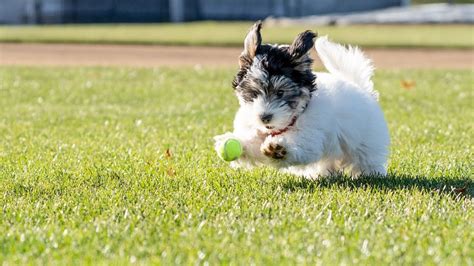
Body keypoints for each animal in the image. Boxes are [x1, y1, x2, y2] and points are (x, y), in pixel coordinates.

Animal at [214, 21, 388, 179]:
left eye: (281, 92)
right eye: (254, 92)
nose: (264, 117)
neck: (287, 123)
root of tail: (361, 88)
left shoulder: (312, 134)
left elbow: (302, 144)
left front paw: (278, 150)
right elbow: (253, 143)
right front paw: (232, 141)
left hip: (366, 139)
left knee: (366, 156)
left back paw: (372, 174)